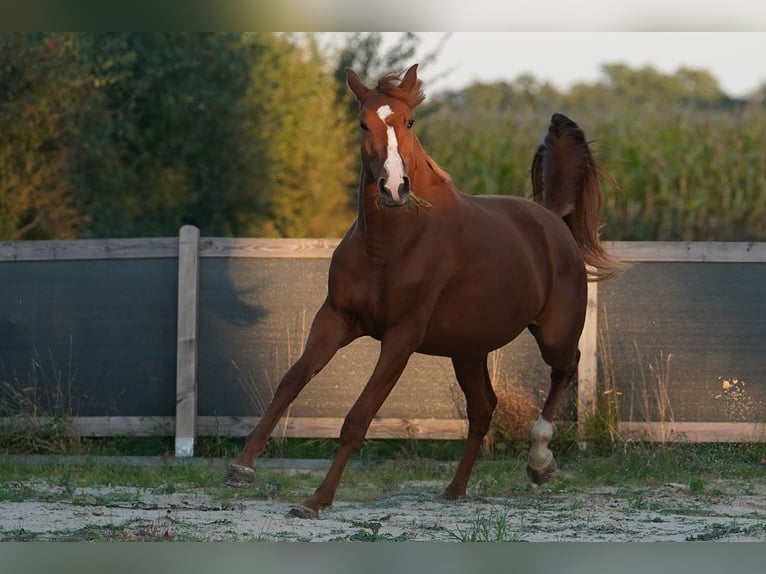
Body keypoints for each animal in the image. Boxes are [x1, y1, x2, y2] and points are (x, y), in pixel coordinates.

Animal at [224, 64, 624, 520]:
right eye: (363, 123)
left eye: (409, 122)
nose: (394, 187)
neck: (390, 243)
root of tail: (553, 221)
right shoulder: (336, 318)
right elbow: (290, 382)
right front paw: (241, 467)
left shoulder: (401, 336)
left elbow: (358, 418)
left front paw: (317, 499)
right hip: (467, 349)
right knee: (483, 408)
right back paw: (455, 489)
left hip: (554, 334)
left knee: (566, 368)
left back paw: (539, 463)